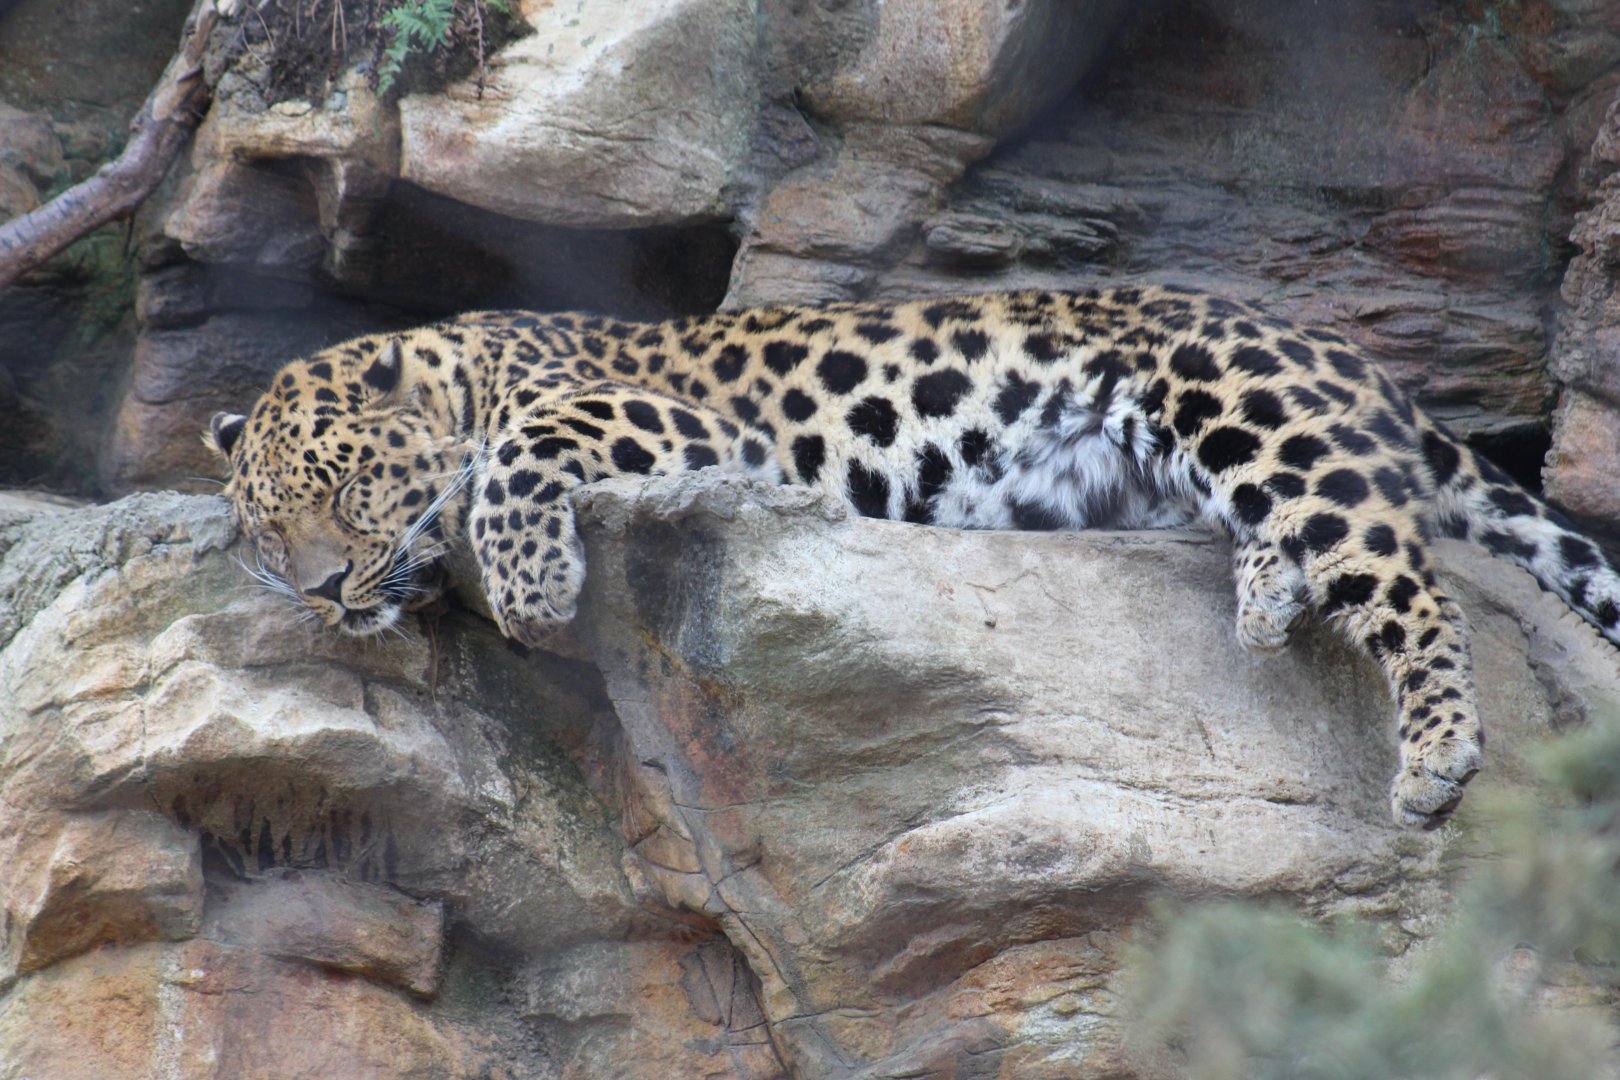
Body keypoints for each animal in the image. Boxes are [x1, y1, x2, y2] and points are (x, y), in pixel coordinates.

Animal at [205, 285, 1620, 830]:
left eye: (347, 488)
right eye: (267, 535)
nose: (323, 590)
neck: (467, 356)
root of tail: (1346, 353)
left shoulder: (687, 430)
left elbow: (514, 452)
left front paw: (534, 582)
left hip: (1241, 403)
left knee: (1404, 567)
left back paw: (1436, 752)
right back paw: (1270, 594)